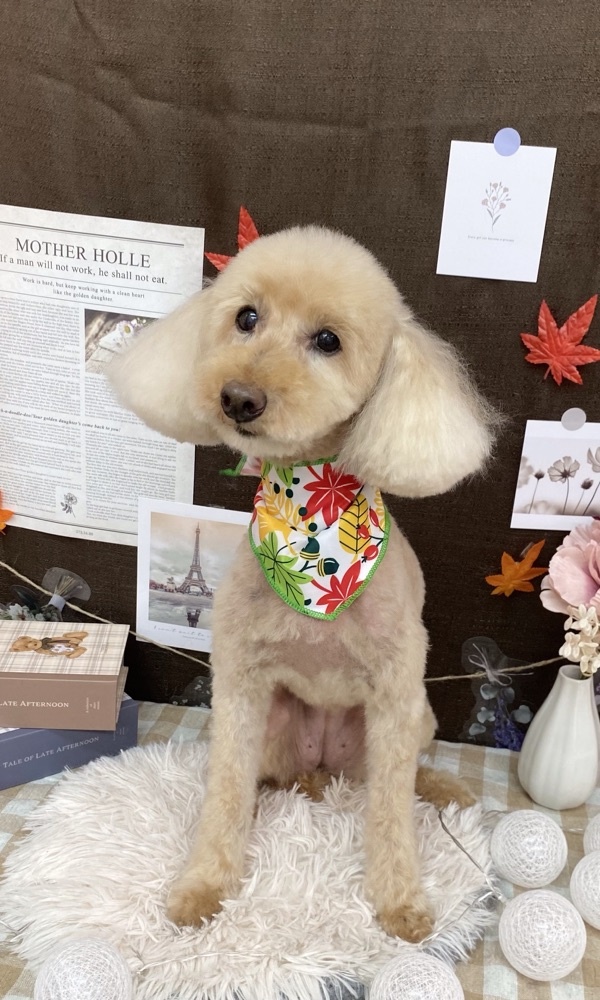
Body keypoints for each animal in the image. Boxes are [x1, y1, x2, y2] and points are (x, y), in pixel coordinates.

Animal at [109, 225, 496, 943]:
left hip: (413, 720)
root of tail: (324, 765)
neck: (310, 529)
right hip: (279, 726)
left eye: (327, 340)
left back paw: (442, 788)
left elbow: (391, 816)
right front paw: (205, 885)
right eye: (245, 318)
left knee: (401, 778)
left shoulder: (396, 695)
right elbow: (226, 793)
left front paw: (401, 902)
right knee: (279, 778)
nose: (239, 397)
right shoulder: (239, 684)